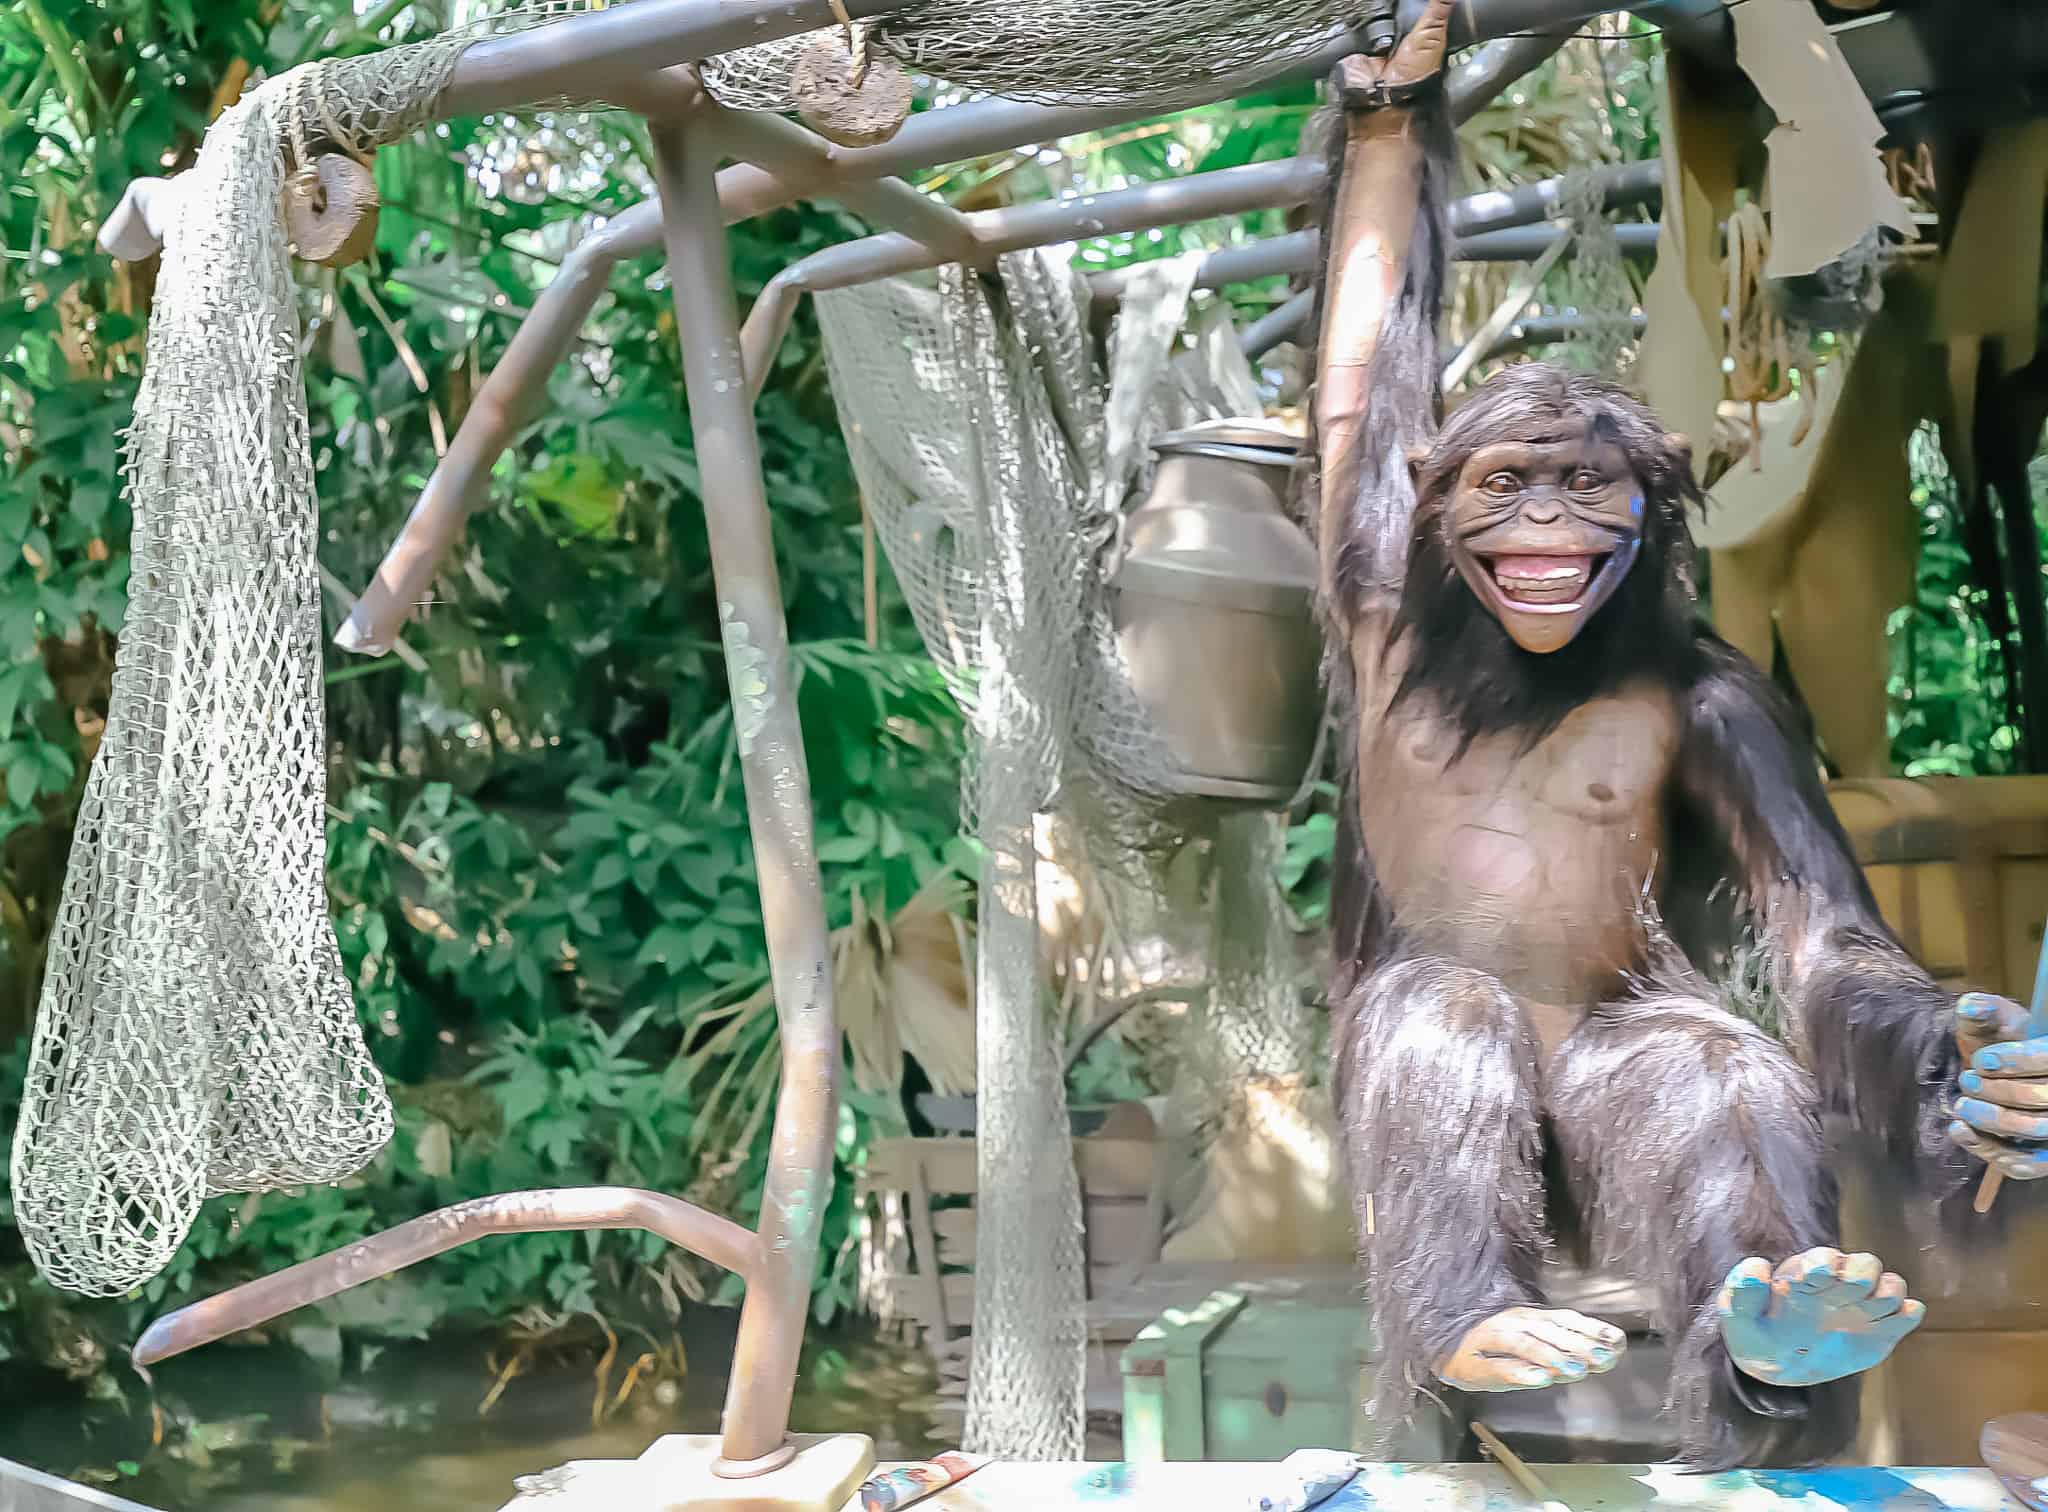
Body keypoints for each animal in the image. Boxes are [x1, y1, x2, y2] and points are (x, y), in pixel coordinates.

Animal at [1302, 0, 2048, 1466]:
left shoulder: (1734, 717)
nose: (1543, 526)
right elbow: (1360, 372)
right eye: (1506, 483)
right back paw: (1486, 1324)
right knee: (1440, 1003)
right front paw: (1398, 82)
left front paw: (1984, 1081)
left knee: (1701, 1064)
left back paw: (1788, 1337)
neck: (1524, 672)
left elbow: (1824, 937)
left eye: (1583, 484)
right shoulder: (1370, 579)